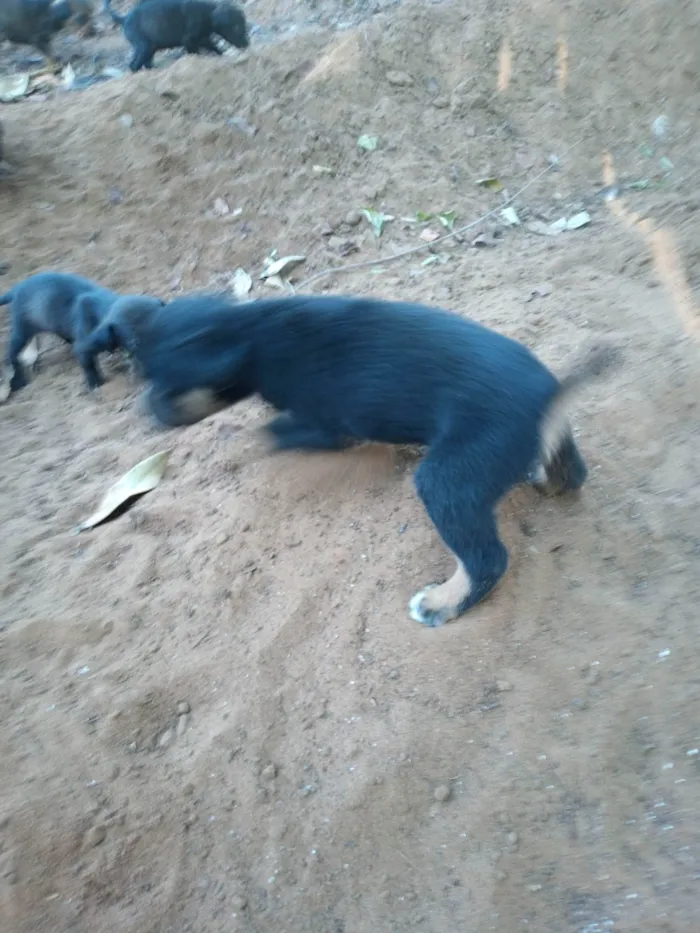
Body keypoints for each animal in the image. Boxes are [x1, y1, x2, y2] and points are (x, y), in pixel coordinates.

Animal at [1, 274, 161, 396]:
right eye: (134, 341)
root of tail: (17, 288)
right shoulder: (85, 346)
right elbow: (89, 365)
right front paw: (96, 384)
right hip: (22, 329)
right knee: (12, 353)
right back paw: (18, 381)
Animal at [79, 292, 620, 628]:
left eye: (168, 385)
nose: (146, 412)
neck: (256, 333)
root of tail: (549, 396)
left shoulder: (325, 427)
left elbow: (262, 433)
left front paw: (234, 447)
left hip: (448, 477)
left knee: (487, 558)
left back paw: (441, 604)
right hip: (534, 449)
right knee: (570, 474)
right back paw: (543, 477)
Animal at [102, 0, 247, 72]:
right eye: (236, 27)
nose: (247, 44)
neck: (208, 13)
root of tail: (124, 18)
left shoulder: (203, 39)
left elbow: (215, 47)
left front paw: (222, 55)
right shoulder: (190, 41)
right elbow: (195, 53)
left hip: (150, 48)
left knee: (145, 63)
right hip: (144, 46)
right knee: (134, 65)